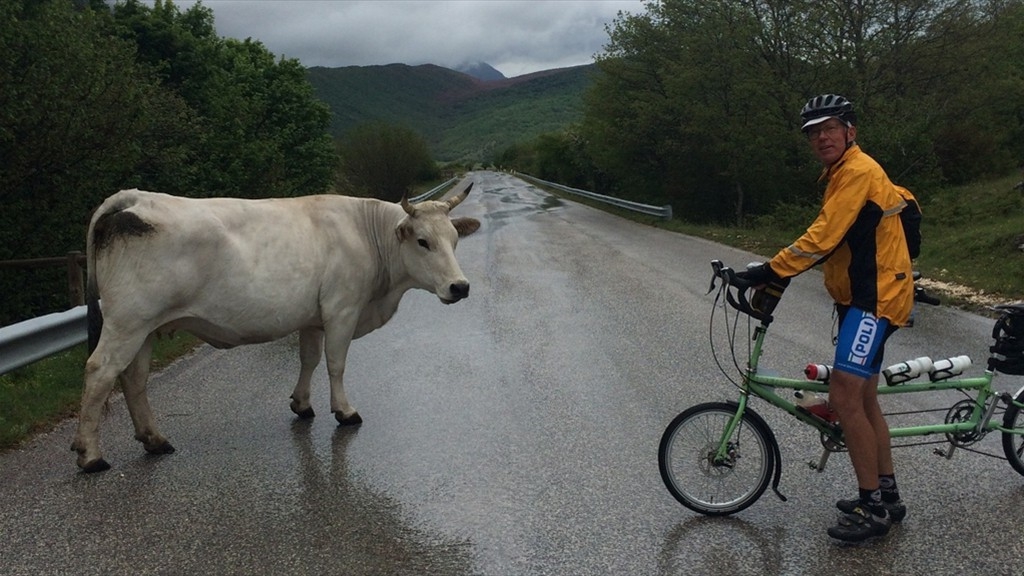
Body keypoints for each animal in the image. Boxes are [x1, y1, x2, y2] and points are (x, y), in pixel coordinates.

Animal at [72, 181, 479, 469]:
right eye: (423, 242)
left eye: (455, 239)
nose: (460, 287)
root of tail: (133, 198)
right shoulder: (342, 309)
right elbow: (335, 363)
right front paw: (344, 411)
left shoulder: (314, 317)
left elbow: (309, 359)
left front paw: (302, 404)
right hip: (128, 322)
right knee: (100, 372)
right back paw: (91, 455)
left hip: (144, 328)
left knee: (133, 379)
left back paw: (154, 440)